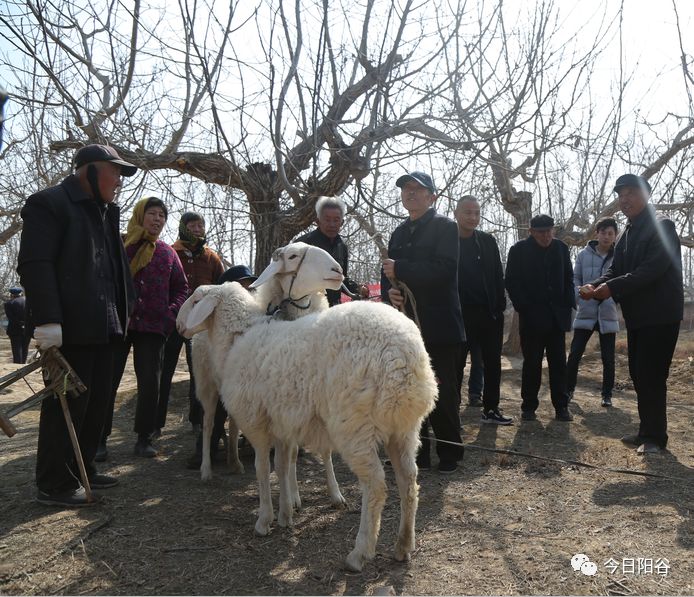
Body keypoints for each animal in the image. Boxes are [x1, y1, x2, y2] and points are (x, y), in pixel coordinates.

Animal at [182, 282, 438, 572]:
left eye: (195, 301)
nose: (180, 327)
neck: (238, 338)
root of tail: (403, 358)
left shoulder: (256, 423)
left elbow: (262, 469)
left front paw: (264, 520)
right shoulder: (281, 423)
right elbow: (282, 466)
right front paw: (285, 514)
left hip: (355, 426)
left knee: (375, 485)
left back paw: (360, 553)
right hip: (404, 427)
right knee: (408, 480)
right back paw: (404, 545)